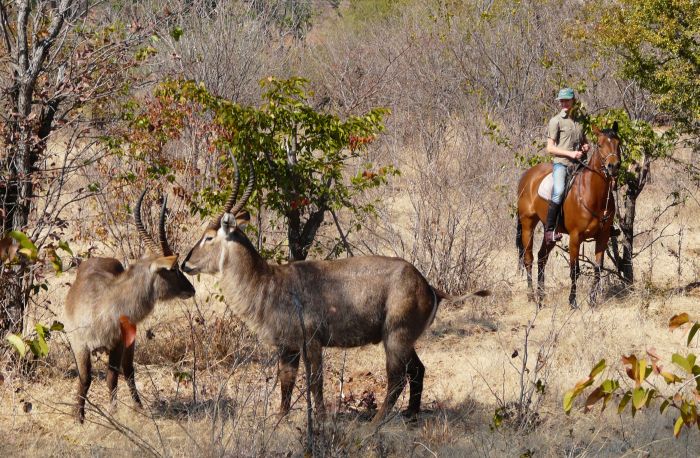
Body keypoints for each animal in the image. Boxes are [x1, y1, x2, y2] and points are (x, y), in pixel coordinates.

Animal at [516, 124, 624, 308]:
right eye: (600, 144)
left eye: (618, 143)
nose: (613, 166)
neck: (593, 195)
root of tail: (527, 176)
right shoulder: (575, 237)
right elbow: (575, 271)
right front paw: (572, 302)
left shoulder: (603, 236)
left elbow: (598, 267)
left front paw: (592, 301)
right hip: (527, 225)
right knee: (528, 258)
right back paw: (532, 297)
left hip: (550, 231)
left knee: (542, 257)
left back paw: (541, 296)